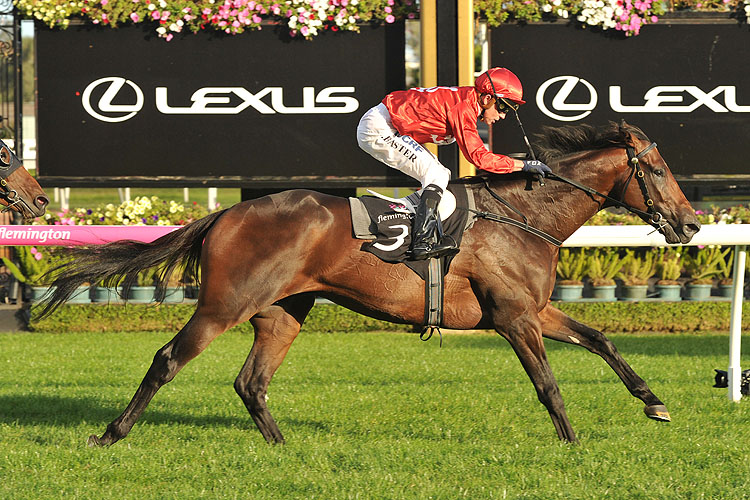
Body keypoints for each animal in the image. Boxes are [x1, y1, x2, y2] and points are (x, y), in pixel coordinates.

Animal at [39, 121, 700, 446]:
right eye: (657, 168)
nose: (691, 224)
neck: (524, 217)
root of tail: (225, 214)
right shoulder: (514, 318)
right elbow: (548, 384)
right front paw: (572, 442)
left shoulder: (534, 311)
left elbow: (603, 341)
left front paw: (655, 403)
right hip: (225, 304)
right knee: (167, 360)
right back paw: (111, 435)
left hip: (284, 312)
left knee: (251, 382)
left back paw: (285, 447)